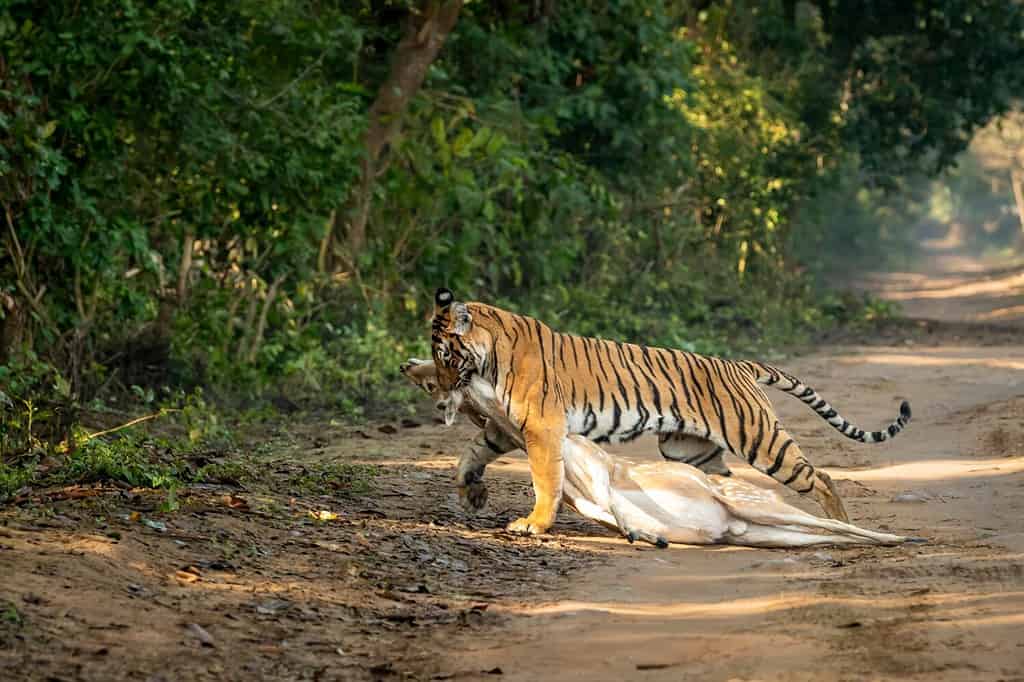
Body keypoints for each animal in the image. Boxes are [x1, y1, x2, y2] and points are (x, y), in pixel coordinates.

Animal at [428, 284, 909, 532]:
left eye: (446, 355)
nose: (440, 393)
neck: (487, 357)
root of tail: (739, 364)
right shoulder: (506, 426)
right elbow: (471, 454)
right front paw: (470, 492)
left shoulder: (542, 427)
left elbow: (545, 480)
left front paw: (533, 524)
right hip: (689, 449)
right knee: (725, 484)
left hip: (761, 440)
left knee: (820, 477)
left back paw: (843, 521)